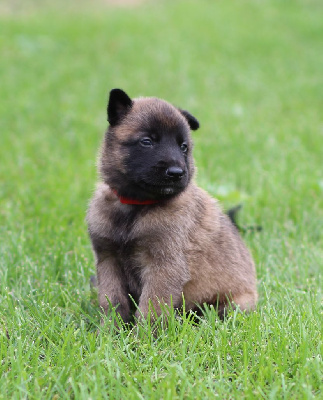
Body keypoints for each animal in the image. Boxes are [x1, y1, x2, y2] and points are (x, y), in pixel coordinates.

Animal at [86, 89, 258, 324]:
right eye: (147, 141)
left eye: (183, 147)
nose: (176, 173)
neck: (136, 206)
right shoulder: (108, 260)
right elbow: (112, 302)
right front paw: (110, 330)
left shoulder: (164, 266)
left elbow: (151, 308)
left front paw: (144, 335)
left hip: (232, 305)